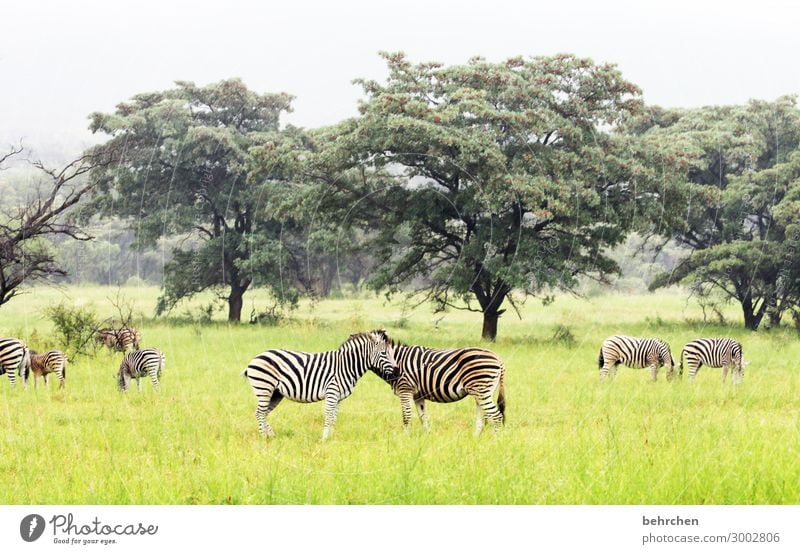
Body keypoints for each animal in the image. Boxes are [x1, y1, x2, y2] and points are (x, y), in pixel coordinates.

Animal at [239, 328, 398, 440]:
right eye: (384, 353)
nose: (397, 372)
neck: (346, 365)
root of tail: (255, 358)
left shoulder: (339, 398)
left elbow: (334, 418)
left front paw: (332, 438)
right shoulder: (331, 392)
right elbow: (328, 416)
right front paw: (324, 439)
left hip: (275, 393)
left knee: (264, 413)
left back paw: (271, 436)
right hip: (264, 388)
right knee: (259, 413)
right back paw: (263, 437)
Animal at [370, 340, 506, 436]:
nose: (397, 372)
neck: (397, 360)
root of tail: (497, 358)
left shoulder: (405, 389)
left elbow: (406, 416)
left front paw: (405, 438)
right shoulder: (418, 395)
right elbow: (423, 417)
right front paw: (426, 438)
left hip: (481, 389)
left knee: (496, 416)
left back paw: (495, 441)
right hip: (482, 392)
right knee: (483, 418)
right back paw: (475, 440)